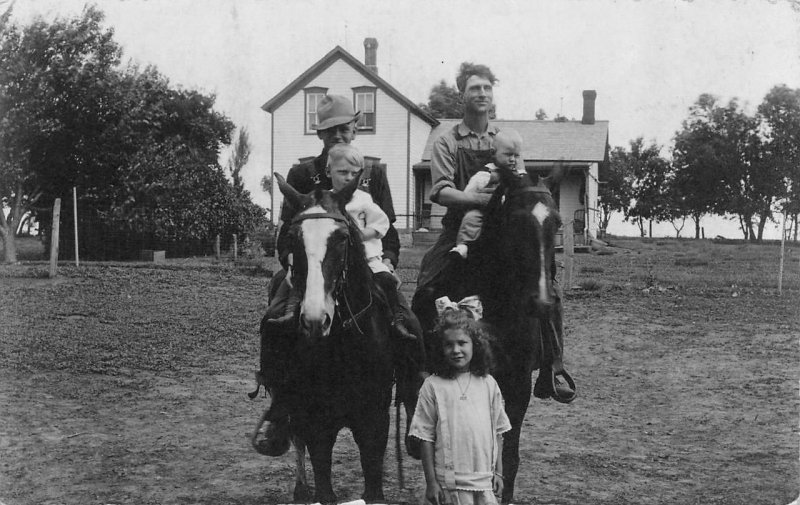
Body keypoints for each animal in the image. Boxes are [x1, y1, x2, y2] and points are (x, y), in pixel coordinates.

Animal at [258, 172, 396, 500]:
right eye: (293, 238)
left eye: (342, 238)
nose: (314, 319)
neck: (345, 351)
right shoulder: (317, 425)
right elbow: (324, 487)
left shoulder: (375, 423)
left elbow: (374, 487)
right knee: (296, 438)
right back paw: (300, 489)